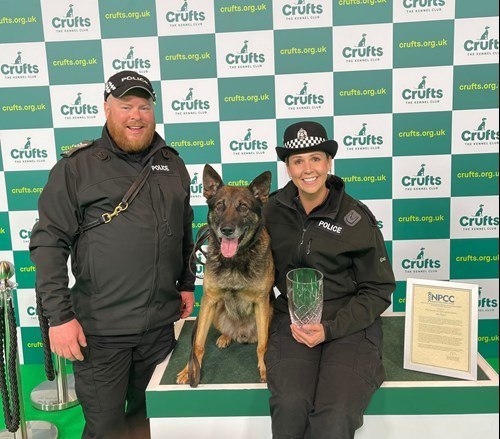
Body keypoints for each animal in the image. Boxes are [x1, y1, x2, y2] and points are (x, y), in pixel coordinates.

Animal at [177, 165, 274, 388]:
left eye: (243, 207)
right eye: (220, 206)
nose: (227, 230)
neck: (235, 260)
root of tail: (242, 334)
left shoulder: (262, 302)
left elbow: (263, 345)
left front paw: (265, 367)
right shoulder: (209, 301)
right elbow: (198, 344)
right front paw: (190, 370)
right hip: (216, 312)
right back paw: (225, 337)